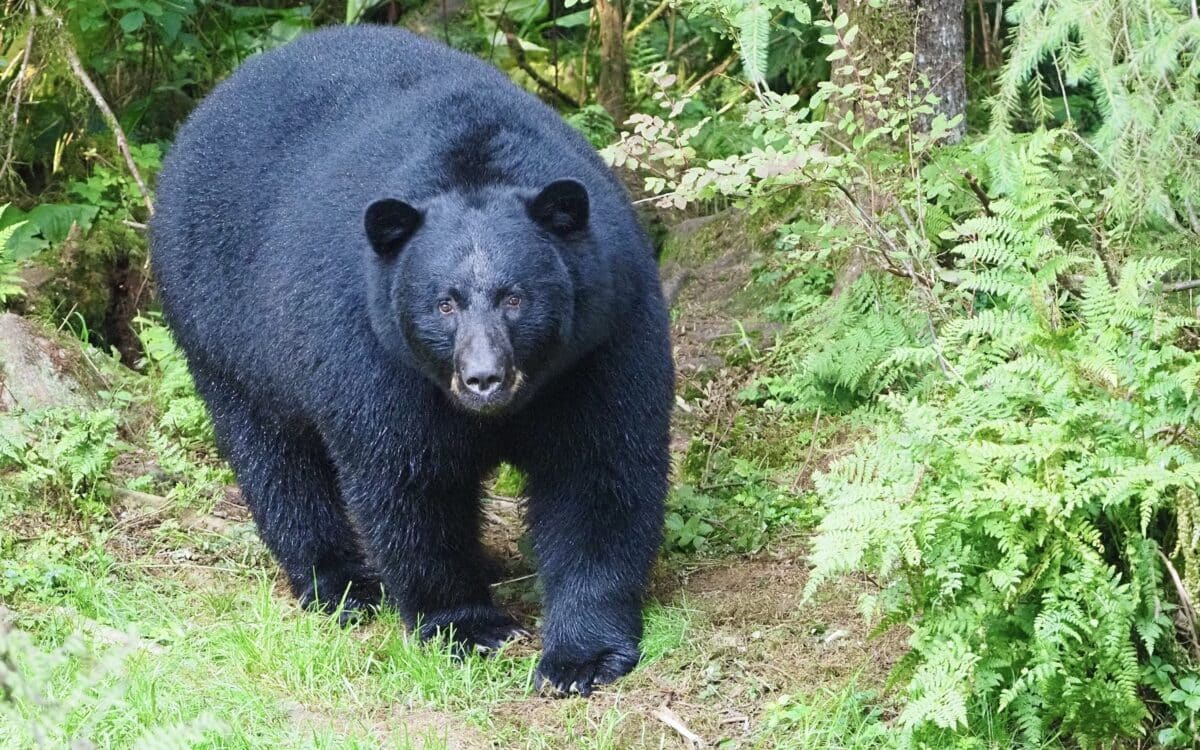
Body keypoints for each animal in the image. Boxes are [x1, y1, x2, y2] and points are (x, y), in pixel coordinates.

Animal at [149, 25, 673, 695]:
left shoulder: (604, 339)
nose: (483, 379)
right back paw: (340, 584)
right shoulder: (374, 354)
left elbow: (598, 470)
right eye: (444, 303)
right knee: (275, 460)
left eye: (515, 297)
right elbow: (410, 483)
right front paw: (467, 627)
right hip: (223, 330)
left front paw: (582, 656)